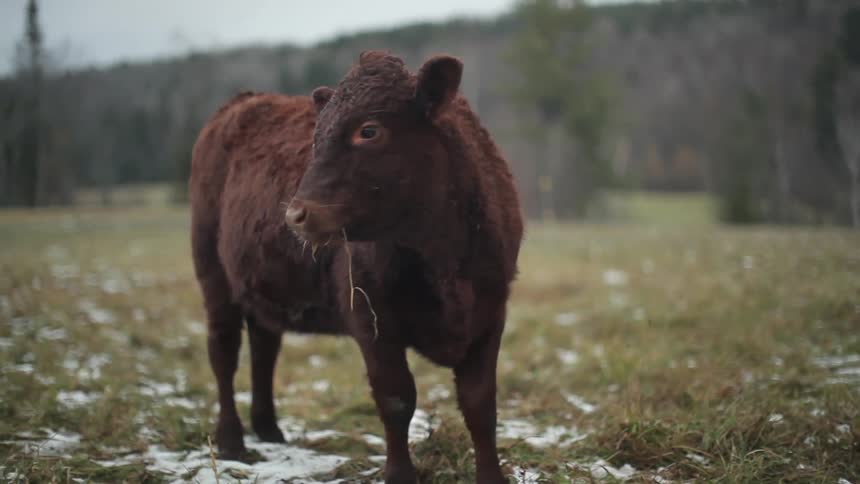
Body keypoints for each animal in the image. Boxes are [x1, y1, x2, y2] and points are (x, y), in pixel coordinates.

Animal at [190, 50, 523, 484]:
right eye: (315, 137)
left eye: (369, 130)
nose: (295, 215)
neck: (444, 261)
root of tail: (243, 100)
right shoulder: (370, 318)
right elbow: (396, 398)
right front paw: (399, 474)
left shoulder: (490, 314)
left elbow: (480, 404)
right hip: (213, 276)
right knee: (223, 354)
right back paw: (232, 441)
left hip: (263, 285)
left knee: (264, 349)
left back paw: (269, 429)